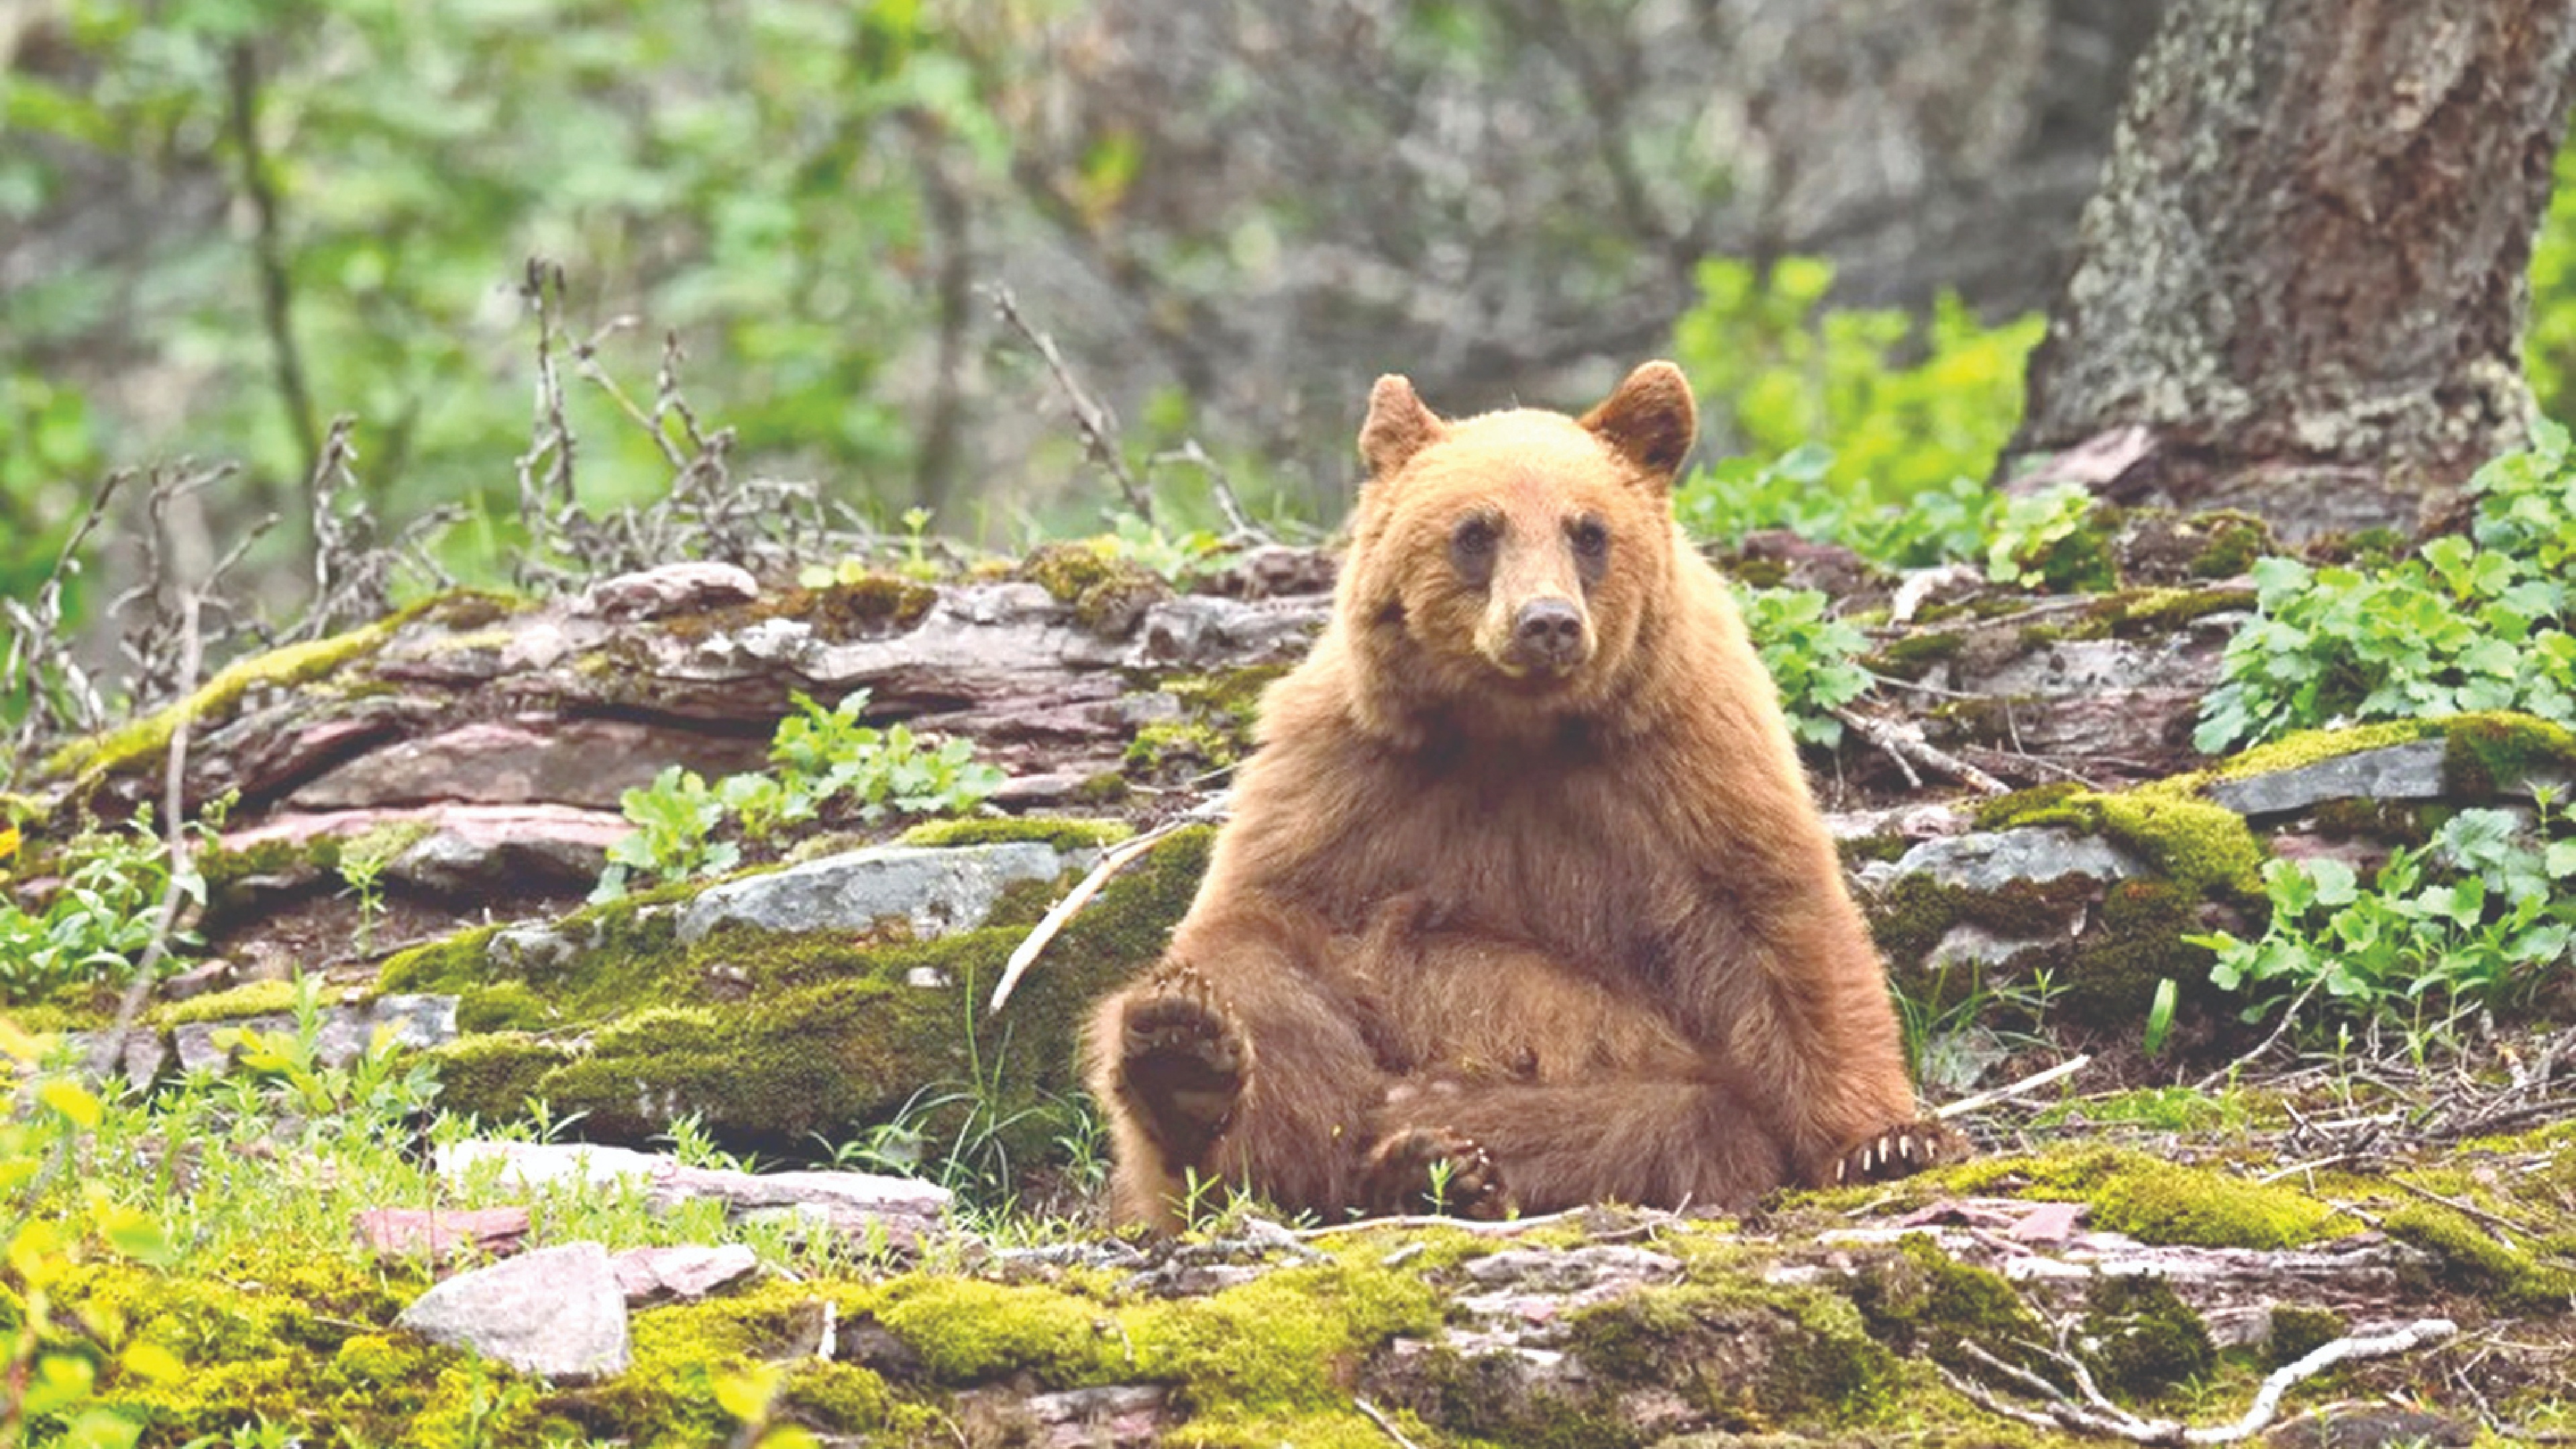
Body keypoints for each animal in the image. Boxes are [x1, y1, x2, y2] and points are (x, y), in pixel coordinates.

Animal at [1084, 360, 1961, 1230]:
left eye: (1589, 532)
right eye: (1477, 531)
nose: (1547, 622)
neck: (1515, 730)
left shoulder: (1689, 753)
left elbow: (1779, 920)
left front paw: (1887, 1141)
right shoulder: (1344, 765)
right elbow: (1254, 917)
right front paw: (1190, 1046)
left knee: (1666, 1120)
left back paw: (1436, 1166)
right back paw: (1195, 1070)